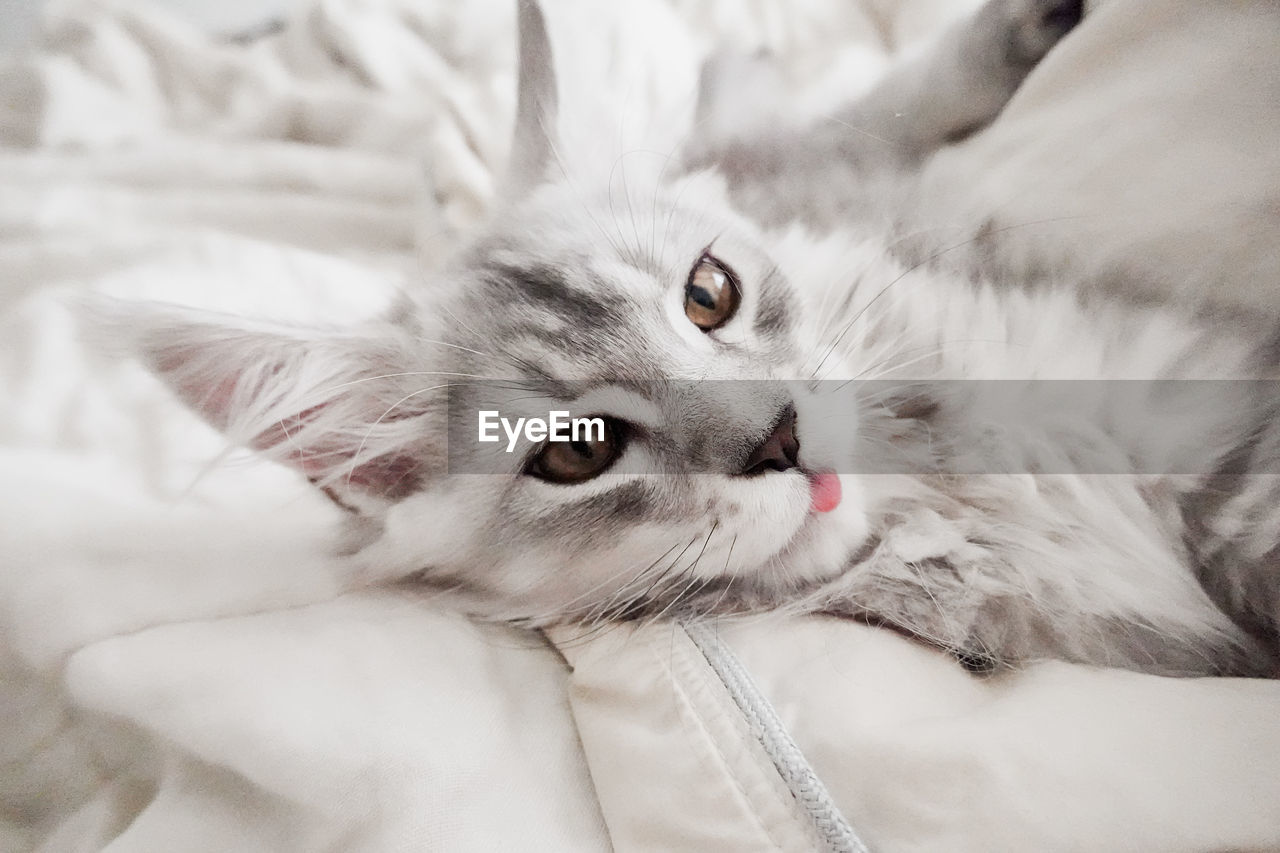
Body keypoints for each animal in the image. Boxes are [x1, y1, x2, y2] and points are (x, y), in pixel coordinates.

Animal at [112, 1, 1280, 676]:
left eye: (709, 294)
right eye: (576, 452)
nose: (779, 437)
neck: (953, 498)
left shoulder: (1196, 418)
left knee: (797, 127)